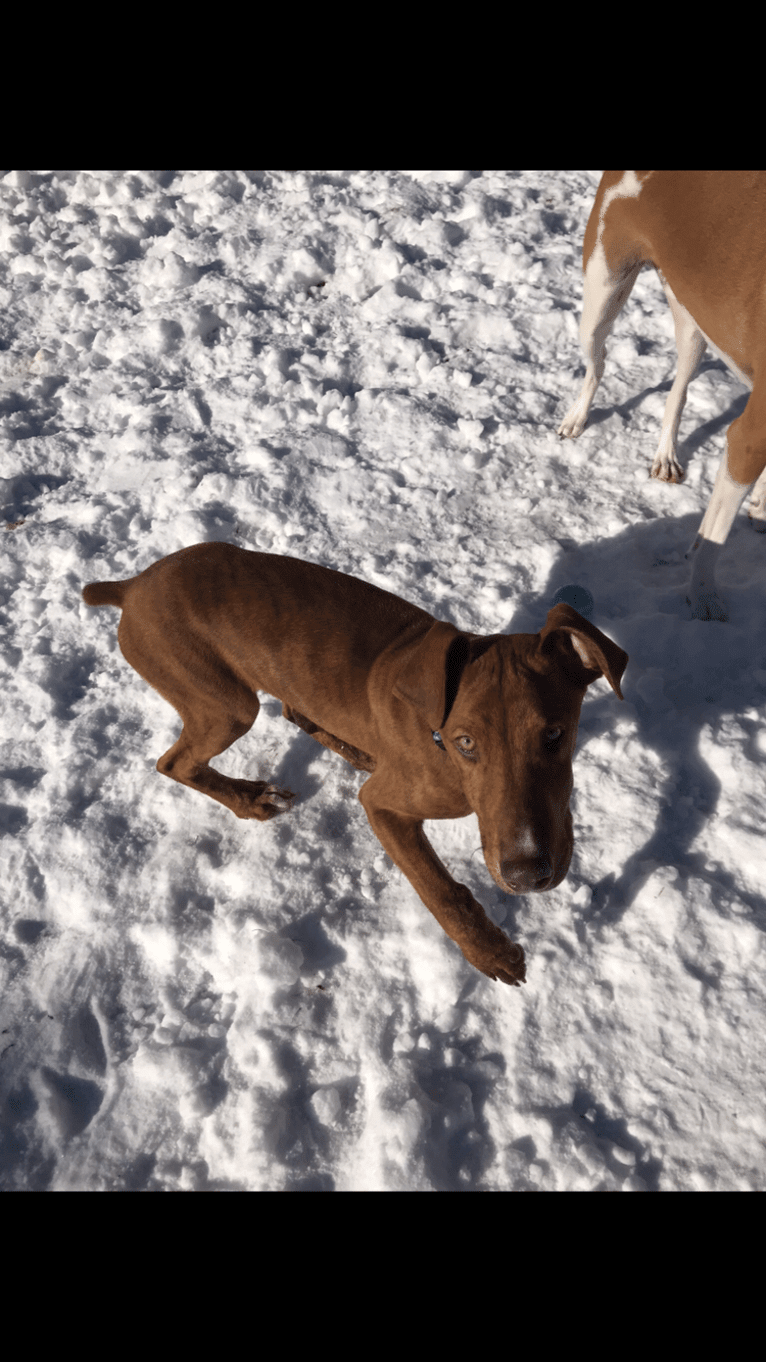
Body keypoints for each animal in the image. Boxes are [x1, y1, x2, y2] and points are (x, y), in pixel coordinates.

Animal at [82, 544, 626, 991]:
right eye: (466, 743)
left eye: (555, 734)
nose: (528, 874)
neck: (439, 746)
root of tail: (131, 586)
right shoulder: (382, 806)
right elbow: (439, 888)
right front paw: (489, 952)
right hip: (225, 703)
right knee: (174, 761)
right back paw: (250, 799)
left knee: (293, 709)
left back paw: (354, 750)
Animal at [553, 170, 763, 623]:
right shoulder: (749, 436)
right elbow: (712, 535)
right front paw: (702, 597)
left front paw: (760, 505)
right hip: (602, 291)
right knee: (597, 365)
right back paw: (576, 418)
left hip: (693, 320)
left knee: (677, 392)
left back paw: (666, 455)